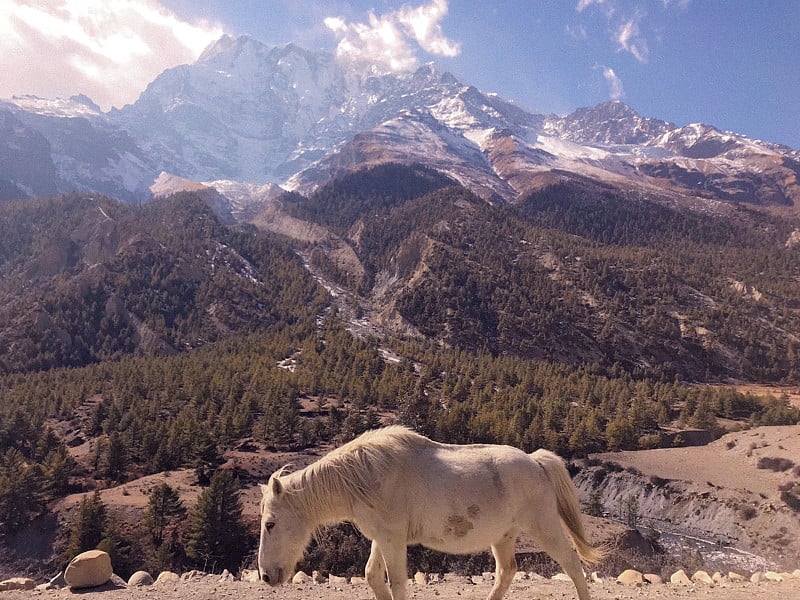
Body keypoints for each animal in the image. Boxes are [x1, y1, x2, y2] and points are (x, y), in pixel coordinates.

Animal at [260, 426, 604, 600]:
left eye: (271, 524)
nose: (266, 576)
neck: (365, 474)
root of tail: (536, 461)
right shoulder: (382, 538)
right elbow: (373, 576)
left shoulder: (392, 541)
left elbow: (397, 583)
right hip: (503, 537)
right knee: (506, 572)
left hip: (544, 527)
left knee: (572, 564)